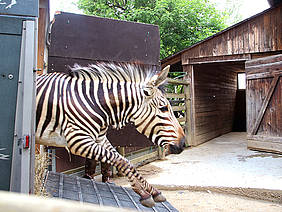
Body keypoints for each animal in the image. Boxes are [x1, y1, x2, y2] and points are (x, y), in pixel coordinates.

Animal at [35, 62, 185, 208]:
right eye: (163, 108)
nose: (183, 143)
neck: (96, 103)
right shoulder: (77, 140)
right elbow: (121, 160)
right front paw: (143, 193)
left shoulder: (100, 139)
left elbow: (125, 161)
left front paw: (153, 191)